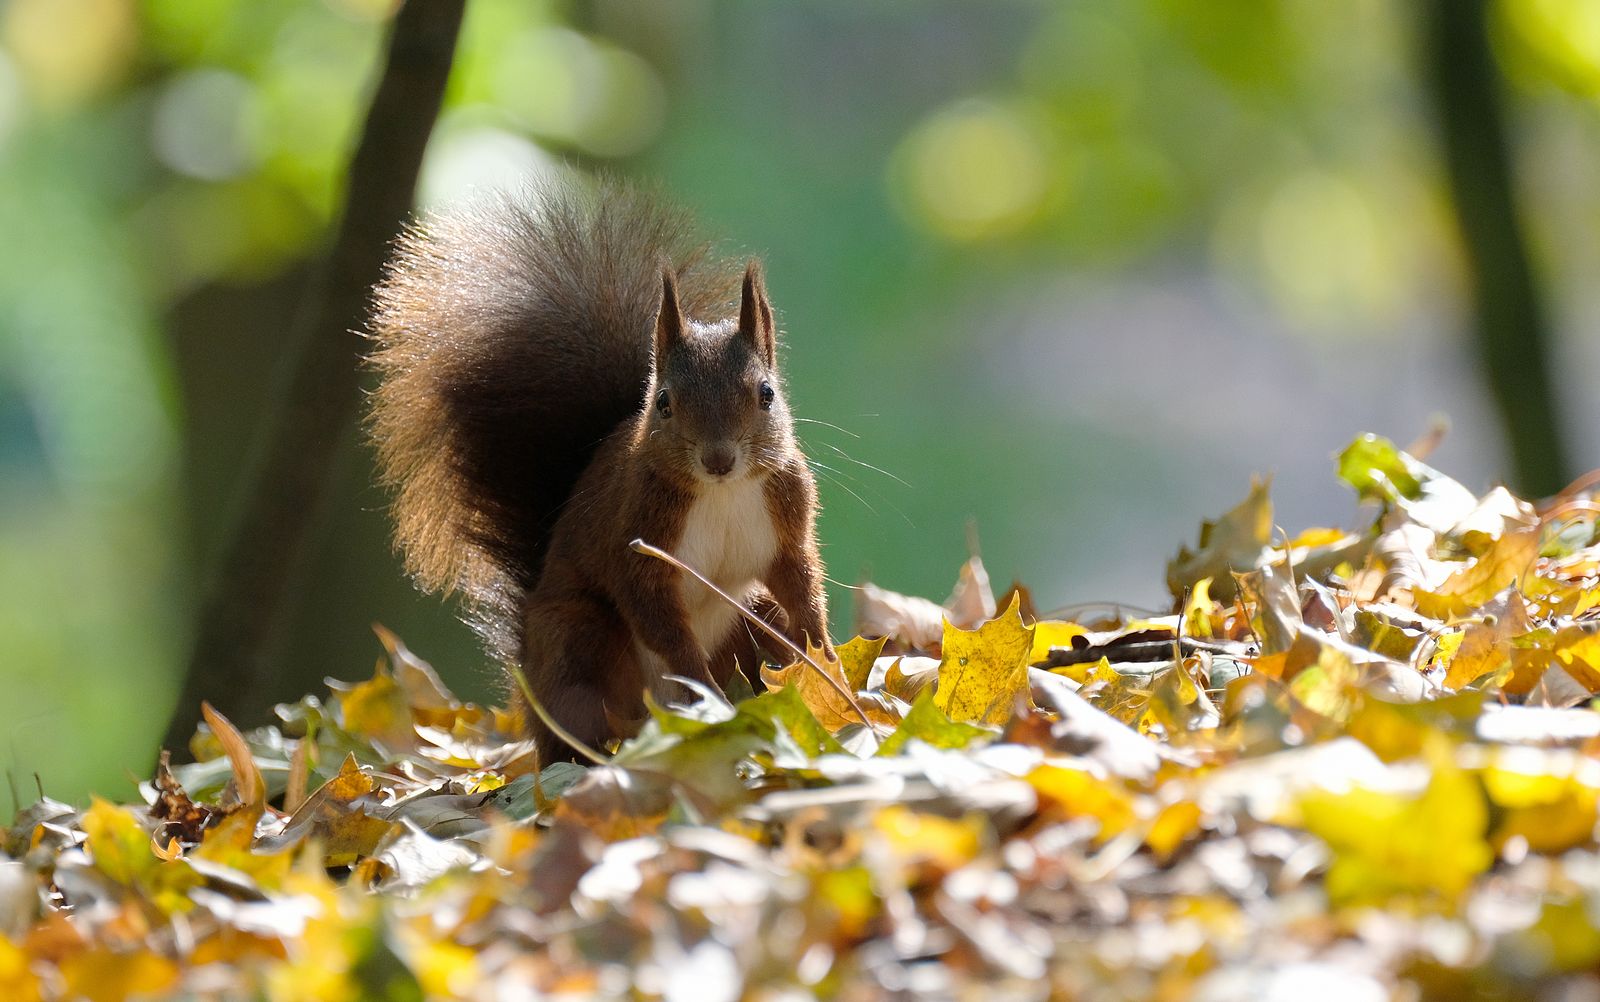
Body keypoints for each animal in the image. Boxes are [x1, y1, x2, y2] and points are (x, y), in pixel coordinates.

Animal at [366, 178, 833, 758]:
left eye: (766, 394)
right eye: (664, 403)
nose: (718, 459)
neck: (722, 493)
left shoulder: (787, 519)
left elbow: (801, 584)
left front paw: (826, 660)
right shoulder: (637, 539)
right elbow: (655, 614)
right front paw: (704, 685)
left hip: (753, 615)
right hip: (580, 639)